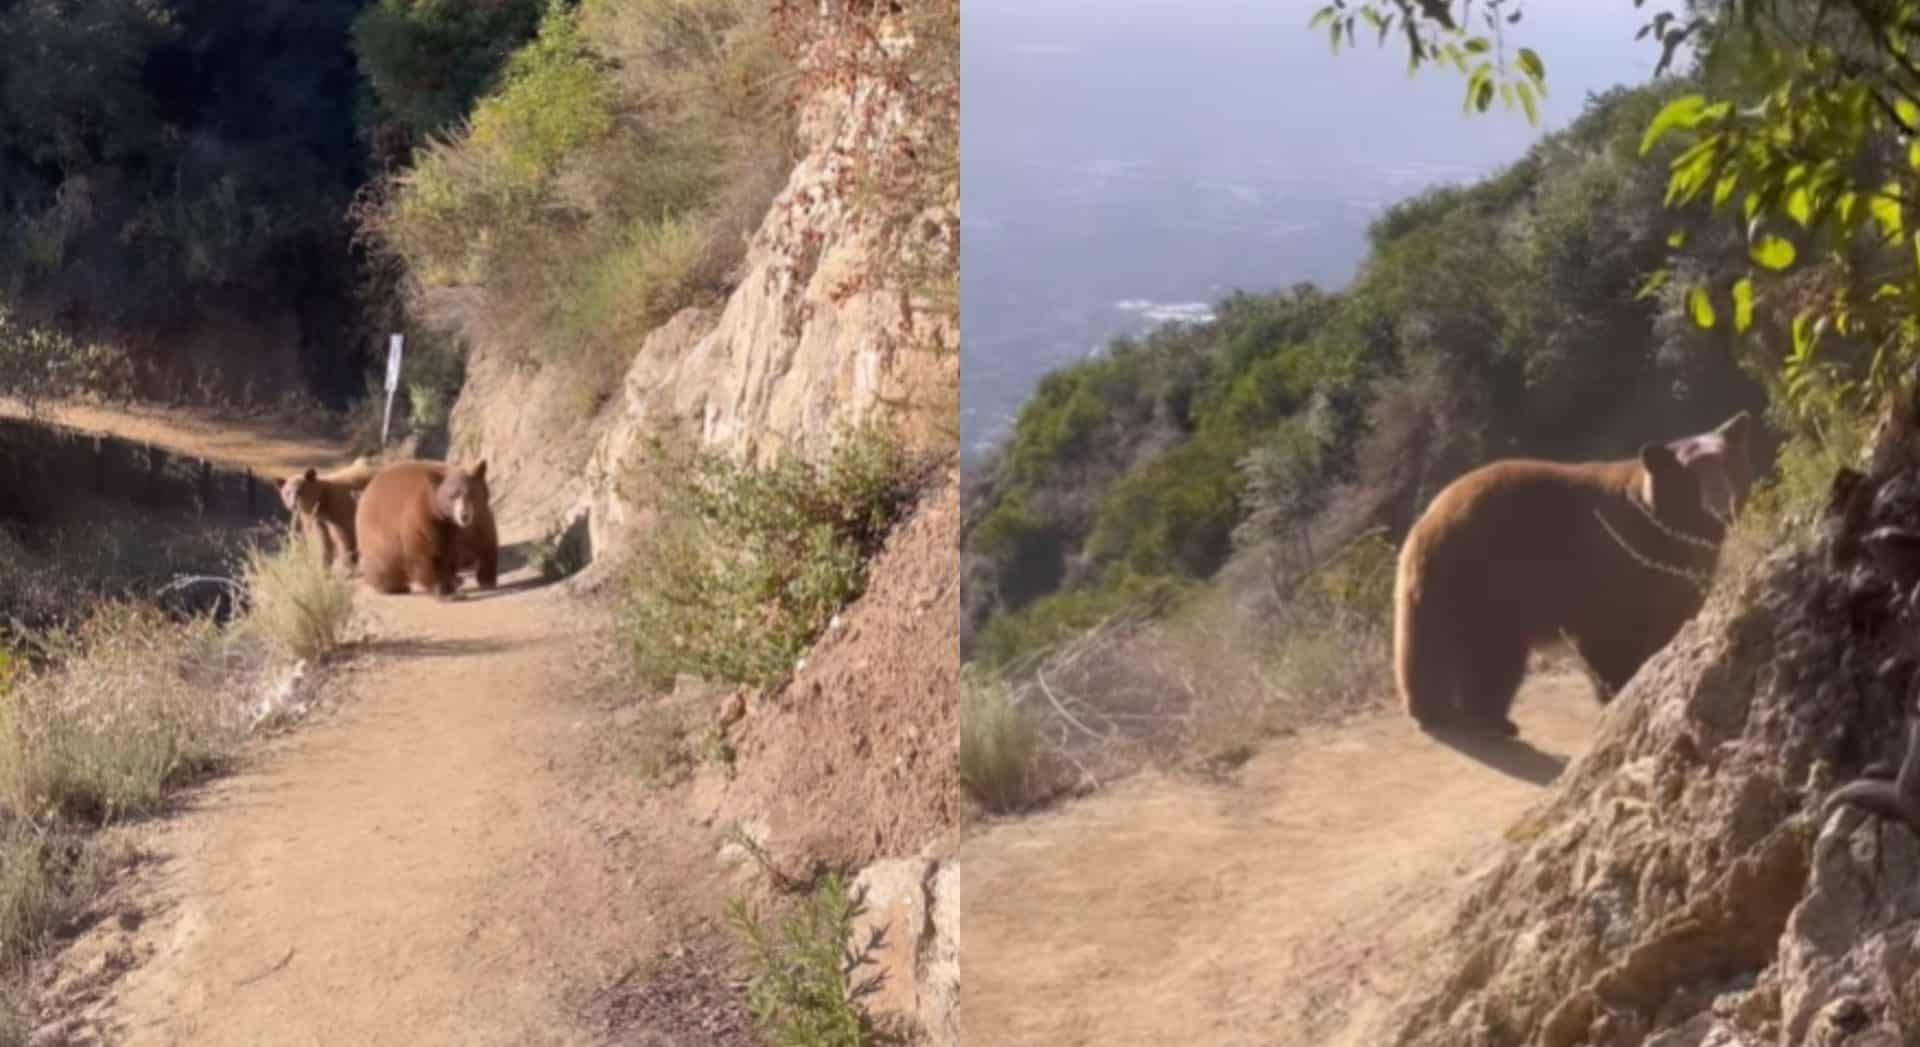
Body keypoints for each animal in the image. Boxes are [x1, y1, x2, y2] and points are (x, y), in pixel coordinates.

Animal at [353, 460, 499, 599]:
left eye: (471, 494)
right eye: (452, 496)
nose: (464, 515)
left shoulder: (478, 517)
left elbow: (485, 543)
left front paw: (486, 579)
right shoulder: (423, 519)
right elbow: (424, 553)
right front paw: (446, 592)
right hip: (379, 539)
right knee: (385, 565)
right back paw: (393, 587)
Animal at [1392, 411, 1754, 738]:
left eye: (1725, 463)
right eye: (1693, 475)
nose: (1720, 499)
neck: (1666, 529)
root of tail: (1428, 521)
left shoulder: (1674, 576)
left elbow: (1671, 618)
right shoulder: (1611, 564)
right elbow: (1611, 634)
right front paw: (1618, 692)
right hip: (1486, 576)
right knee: (1482, 655)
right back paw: (1468, 716)